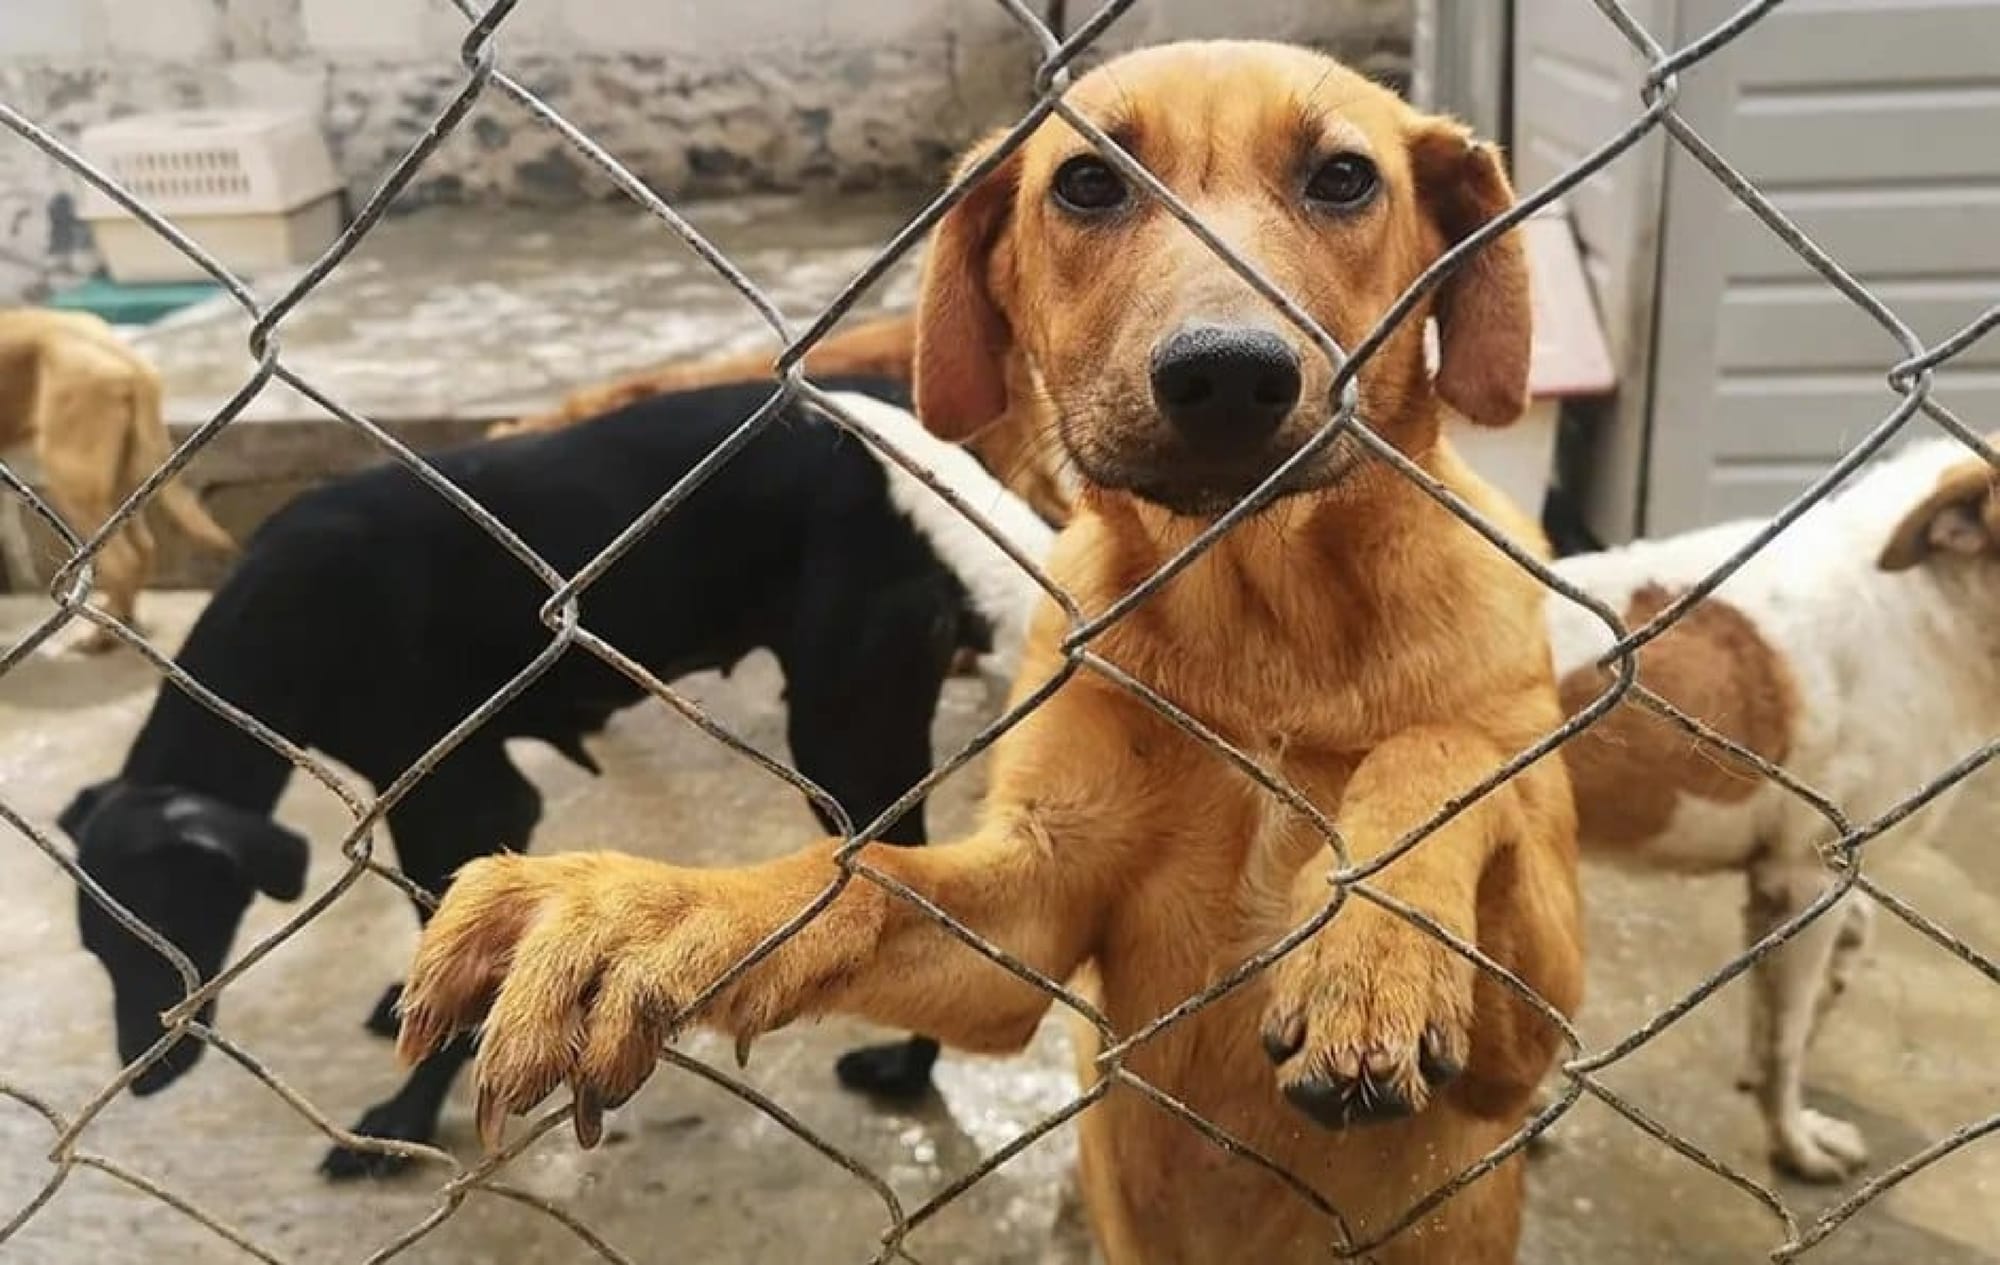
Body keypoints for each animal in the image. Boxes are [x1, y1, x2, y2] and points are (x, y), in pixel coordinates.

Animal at [0, 304, 234, 640]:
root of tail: (127, 357)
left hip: (72, 482)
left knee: (121, 562)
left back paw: (100, 635)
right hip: (123, 486)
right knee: (143, 550)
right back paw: (123, 621)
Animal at [54, 380, 1048, 1184]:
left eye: (168, 927)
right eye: (97, 950)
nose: (143, 1073)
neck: (287, 613)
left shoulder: (462, 796)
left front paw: (405, 1117)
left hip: (844, 739)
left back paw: (908, 1069)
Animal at [398, 42, 1584, 1265]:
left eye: (1344, 178)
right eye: (1087, 183)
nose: (1227, 375)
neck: (1263, 628)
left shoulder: (1524, 1035)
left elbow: (1441, 751)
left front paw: (1372, 948)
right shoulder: (1030, 915)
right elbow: (858, 876)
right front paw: (646, 910)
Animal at [1544, 436, 2000, 1184]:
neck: (1930, 595)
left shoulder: (1790, 878)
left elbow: (1802, 987)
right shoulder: (1807, 876)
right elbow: (1789, 1036)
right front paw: (1795, 1143)